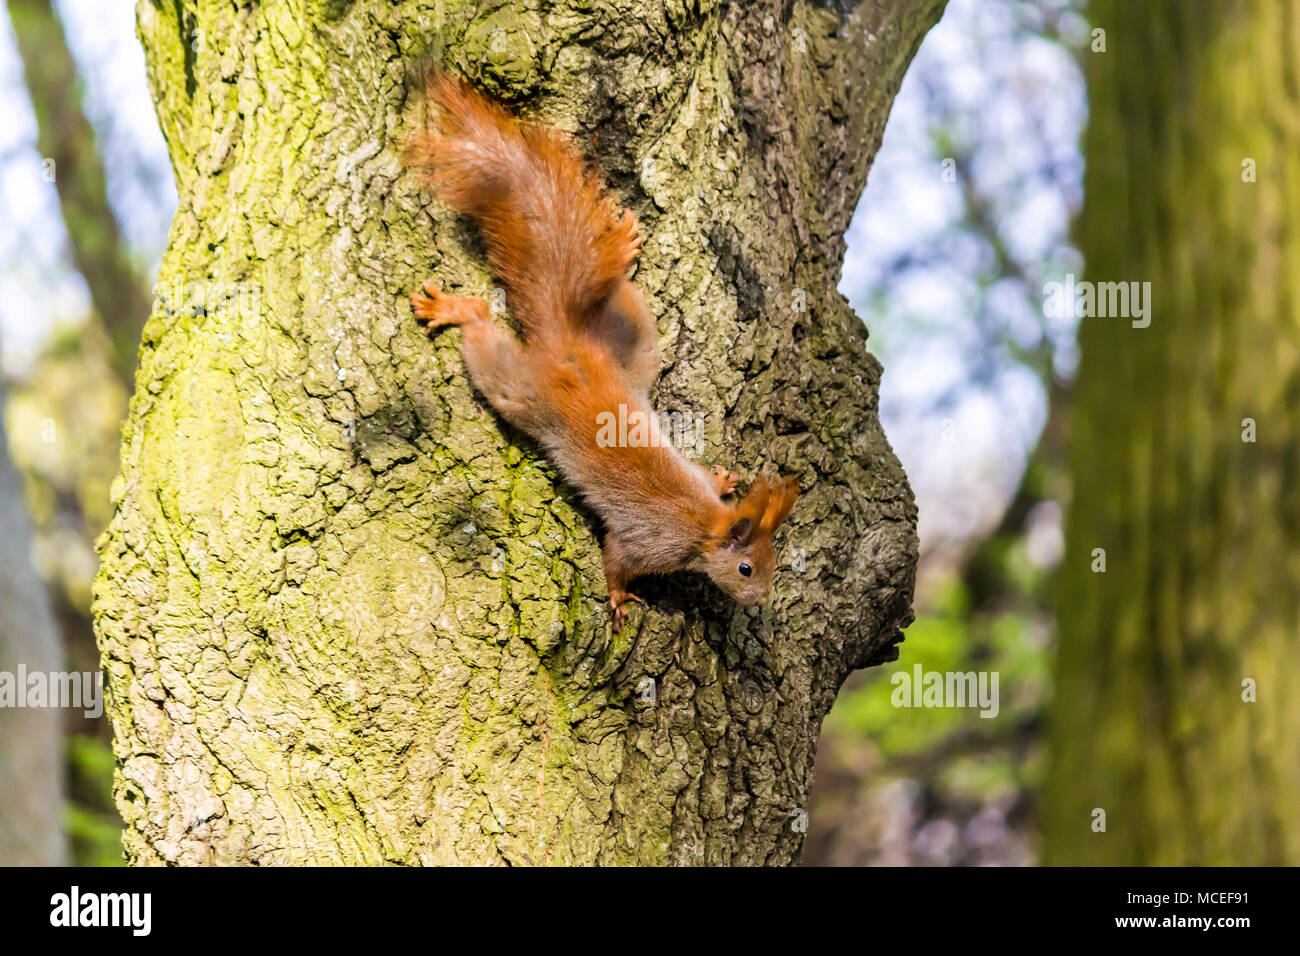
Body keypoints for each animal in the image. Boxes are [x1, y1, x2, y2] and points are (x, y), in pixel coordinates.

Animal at [405, 76, 798, 628]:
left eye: (773, 563)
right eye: (745, 568)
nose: (760, 599)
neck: (706, 525)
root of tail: (569, 346)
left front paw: (722, 479)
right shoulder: (648, 542)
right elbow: (616, 558)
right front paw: (617, 598)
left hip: (632, 339)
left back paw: (622, 242)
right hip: (521, 389)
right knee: (484, 330)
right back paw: (456, 310)